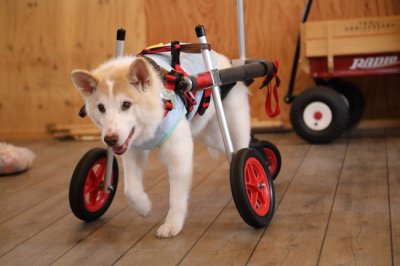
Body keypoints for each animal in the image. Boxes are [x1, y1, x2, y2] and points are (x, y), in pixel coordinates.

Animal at [70, 51, 248, 238]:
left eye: (126, 104)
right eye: (101, 108)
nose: (110, 139)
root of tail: (226, 60)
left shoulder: (179, 154)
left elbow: (176, 196)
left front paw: (172, 224)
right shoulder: (132, 150)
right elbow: (130, 189)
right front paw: (143, 207)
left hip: (234, 125)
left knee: (241, 149)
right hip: (209, 134)